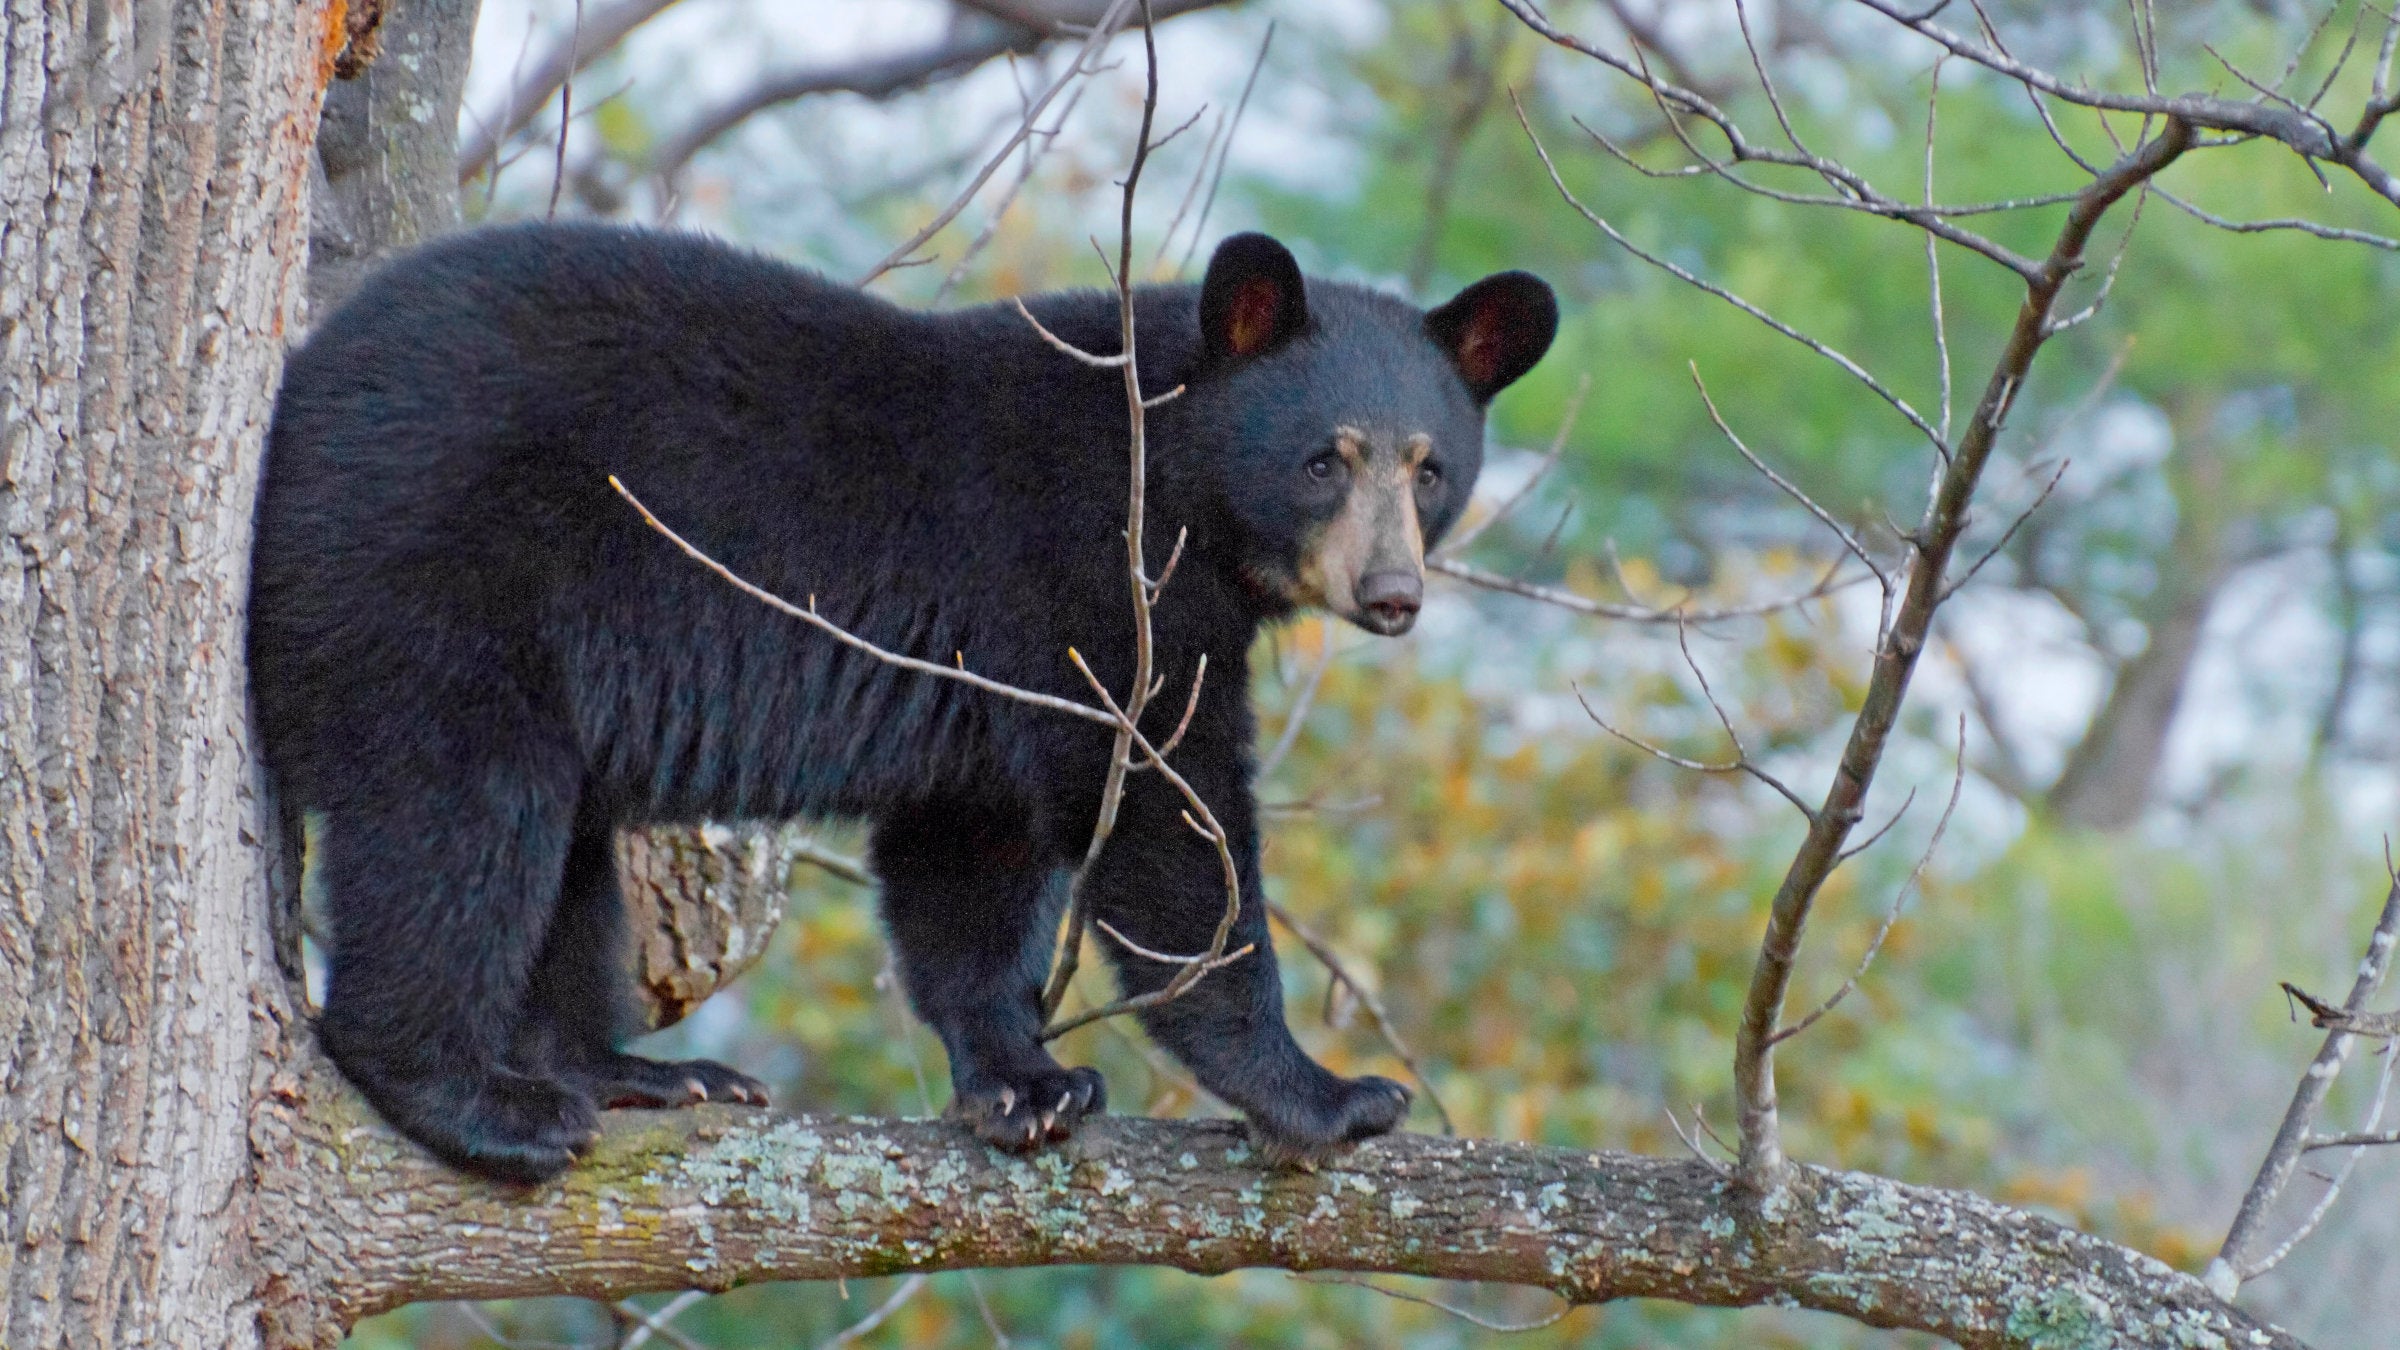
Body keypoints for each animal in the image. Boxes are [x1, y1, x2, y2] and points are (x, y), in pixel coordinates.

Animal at [248, 223, 1556, 1183]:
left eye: (1430, 467)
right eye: (1325, 459)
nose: (1392, 595)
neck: (1168, 469)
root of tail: (303, 387)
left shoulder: (981, 691)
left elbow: (971, 860)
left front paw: (1026, 1084)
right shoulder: (1088, 587)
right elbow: (1165, 823)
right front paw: (1326, 1093)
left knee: (556, 851)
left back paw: (636, 1072)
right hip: (427, 569)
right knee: (458, 820)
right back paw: (481, 1101)